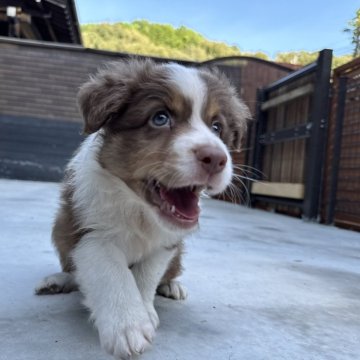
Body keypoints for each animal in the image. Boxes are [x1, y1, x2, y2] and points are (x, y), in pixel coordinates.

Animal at [36, 59, 250, 360]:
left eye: (217, 127)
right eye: (160, 118)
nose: (217, 158)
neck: (139, 209)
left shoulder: (167, 243)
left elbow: (145, 276)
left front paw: (143, 314)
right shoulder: (88, 231)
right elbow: (112, 273)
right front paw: (127, 326)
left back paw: (172, 285)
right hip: (59, 229)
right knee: (73, 269)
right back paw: (59, 280)